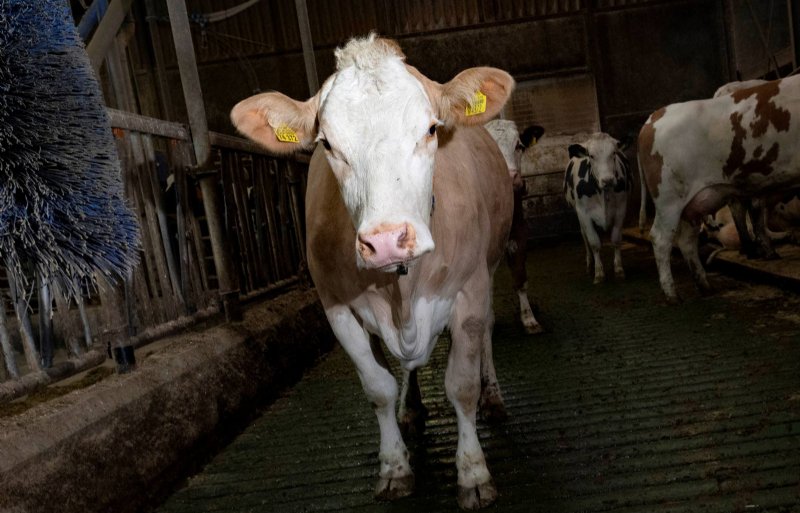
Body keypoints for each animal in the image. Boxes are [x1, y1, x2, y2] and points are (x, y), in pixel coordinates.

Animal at [230, 35, 512, 508]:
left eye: (430, 129)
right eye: (327, 144)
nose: (386, 241)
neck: (401, 292)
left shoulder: (469, 290)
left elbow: (461, 385)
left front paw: (473, 473)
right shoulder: (337, 307)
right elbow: (378, 388)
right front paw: (394, 467)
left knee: (488, 334)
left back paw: (494, 397)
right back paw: (412, 410)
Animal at [564, 132, 632, 284]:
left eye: (614, 153)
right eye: (591, 156)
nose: (608, 180)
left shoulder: (621, 209)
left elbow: (616, 239)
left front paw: (619, 270)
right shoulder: (584, 213)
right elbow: (594, 242)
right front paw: (599, 273)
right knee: (584, 236)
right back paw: (590, 264)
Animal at [636, 74, 800, 302]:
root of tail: (654, 117)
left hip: (693, 204)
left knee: (686, 241)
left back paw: (705, 285)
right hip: (669, 200)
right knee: (661, 239)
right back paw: (672, 295)